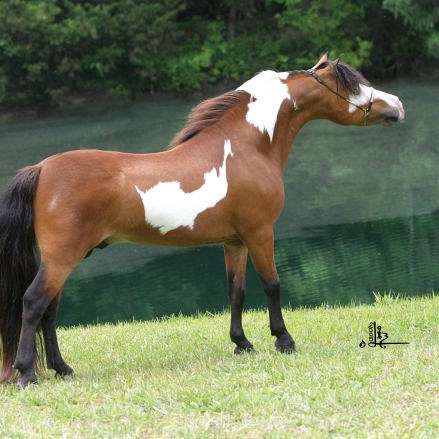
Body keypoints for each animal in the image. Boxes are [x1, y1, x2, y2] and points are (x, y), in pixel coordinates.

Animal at [0, 53, 406, 386]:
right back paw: (26, 374)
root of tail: (42, 168)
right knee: (34, 303)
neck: (247, 146)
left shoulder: (234, 241)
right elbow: (272, 284)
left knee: (50, 311)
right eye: (354, 85)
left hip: (66, 259)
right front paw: (283, 340)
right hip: (61, 258)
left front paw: (242, 344)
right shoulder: (261, 233)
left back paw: (62, 369)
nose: (398, 106)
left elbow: (236, 291)